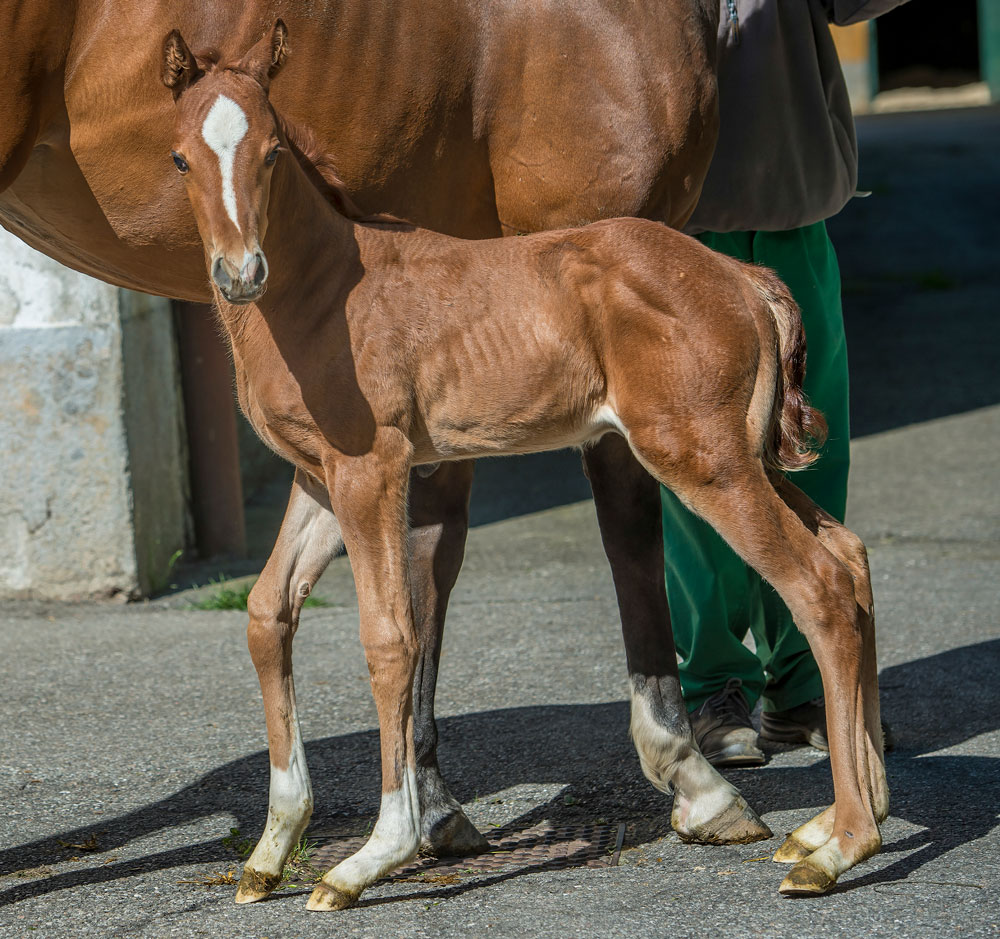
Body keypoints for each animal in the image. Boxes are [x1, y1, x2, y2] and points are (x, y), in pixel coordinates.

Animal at [166, 25, 892, 912]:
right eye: (179, 158)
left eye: (271, 152)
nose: (241, 273)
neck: (325, 289)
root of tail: (742, 277)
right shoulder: (317, 479)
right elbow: (267, 614)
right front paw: (271, 850)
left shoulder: (372, 470)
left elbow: (390, 636)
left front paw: (372, 855)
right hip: (737, 455)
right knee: (848, 557)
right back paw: (841, 819)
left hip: (703, 461)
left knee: (817, 587)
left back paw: (842, 845)